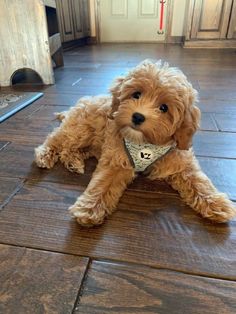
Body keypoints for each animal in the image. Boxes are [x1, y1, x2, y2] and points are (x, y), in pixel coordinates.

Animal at [35, 60, 236, 226]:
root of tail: (79, 104)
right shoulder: (116, 160)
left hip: (92, 141)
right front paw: (90, 208)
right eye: (136, 94)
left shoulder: (180, 162)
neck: (147, 143)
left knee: (69, 149)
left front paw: (217, 204)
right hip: (80, 129)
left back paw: (73, 162)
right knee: (57, 139)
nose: (138, 116)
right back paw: (44, 155)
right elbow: (103, 184)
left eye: (164, 108)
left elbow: (200, 182)